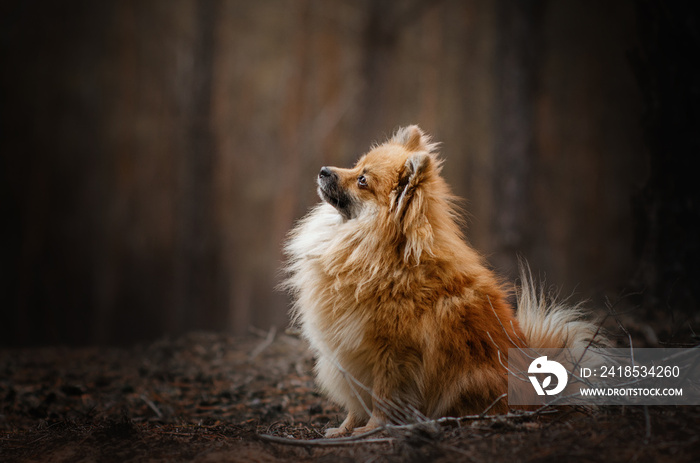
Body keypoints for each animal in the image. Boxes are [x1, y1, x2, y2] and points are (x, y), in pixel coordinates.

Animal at [284, 125, 600, 436]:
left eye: (362, 179)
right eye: (355, 165)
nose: (324, 170)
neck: (382, 253)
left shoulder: (394, 354)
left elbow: (384, 396)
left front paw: (372, 429)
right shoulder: (349, 356)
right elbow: (356, 401)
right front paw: (344, 429)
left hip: (470, 379)